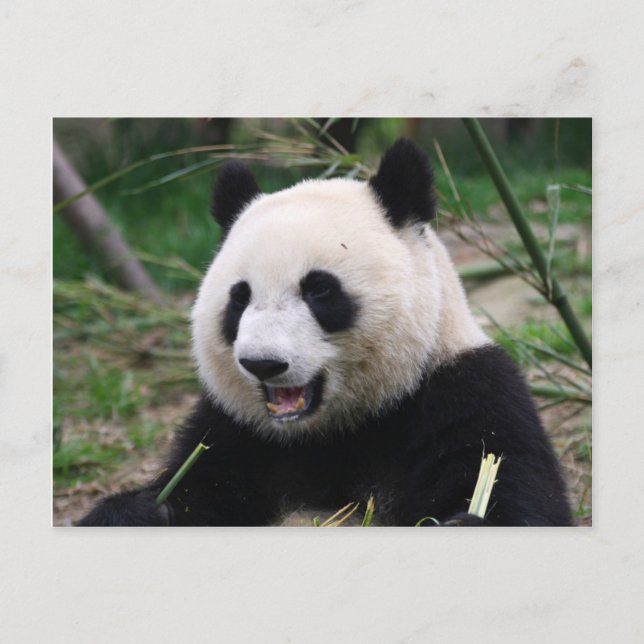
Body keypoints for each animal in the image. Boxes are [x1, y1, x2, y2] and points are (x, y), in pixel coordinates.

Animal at [79, 139, 573, 527]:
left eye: (319, 290)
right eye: (239, 298)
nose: (263, 363)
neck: (332, 432)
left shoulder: (465, 392)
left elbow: (515, 494)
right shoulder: (233, 429)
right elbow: (193, 487)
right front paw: (134, 512)